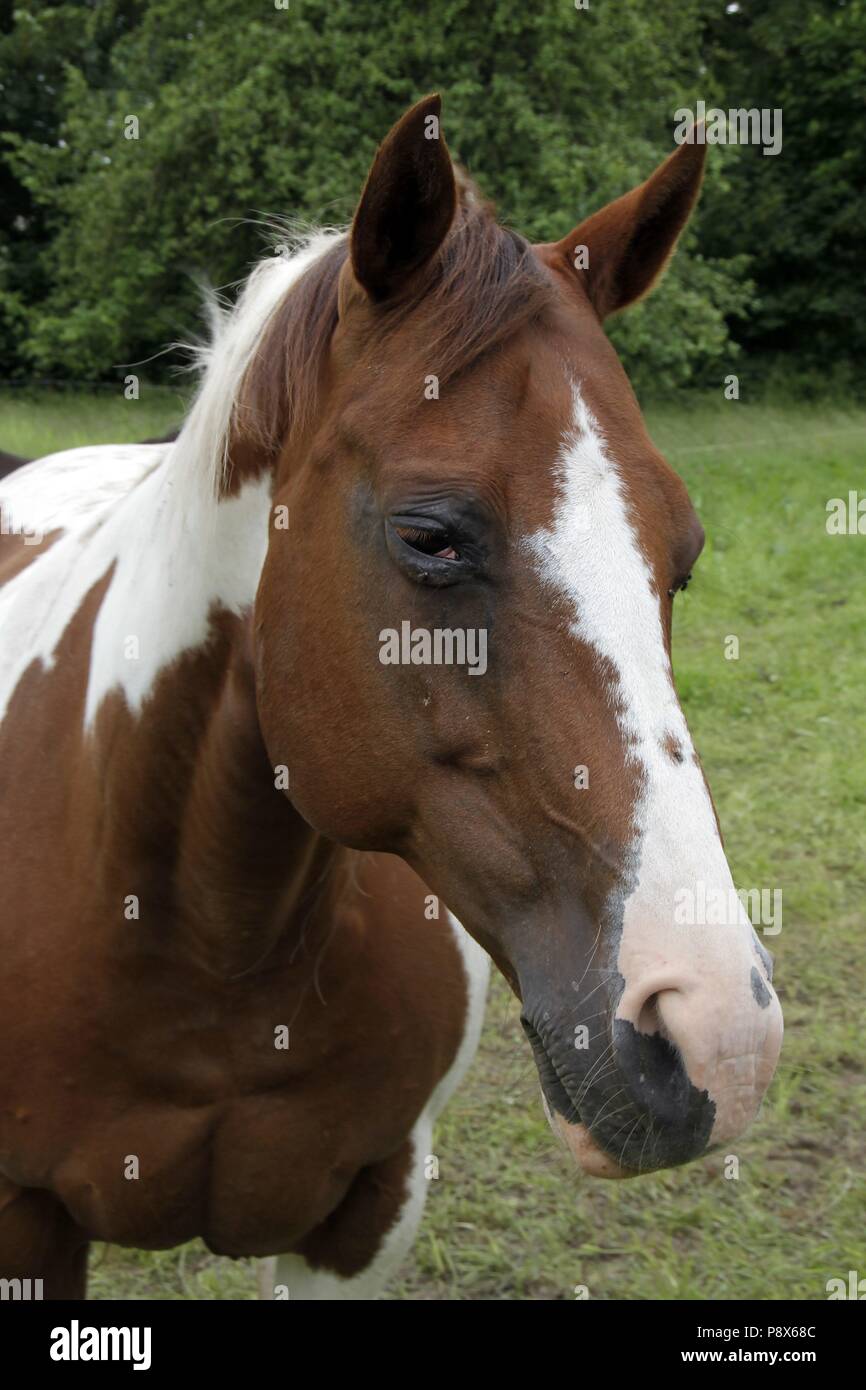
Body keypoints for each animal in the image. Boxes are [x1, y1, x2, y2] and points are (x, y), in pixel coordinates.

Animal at [0, 92, 783, 1295]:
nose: (715, 1039)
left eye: (682, 554)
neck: (210, 939)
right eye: (428, 535)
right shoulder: (22, 1222)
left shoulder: (369, 1211)